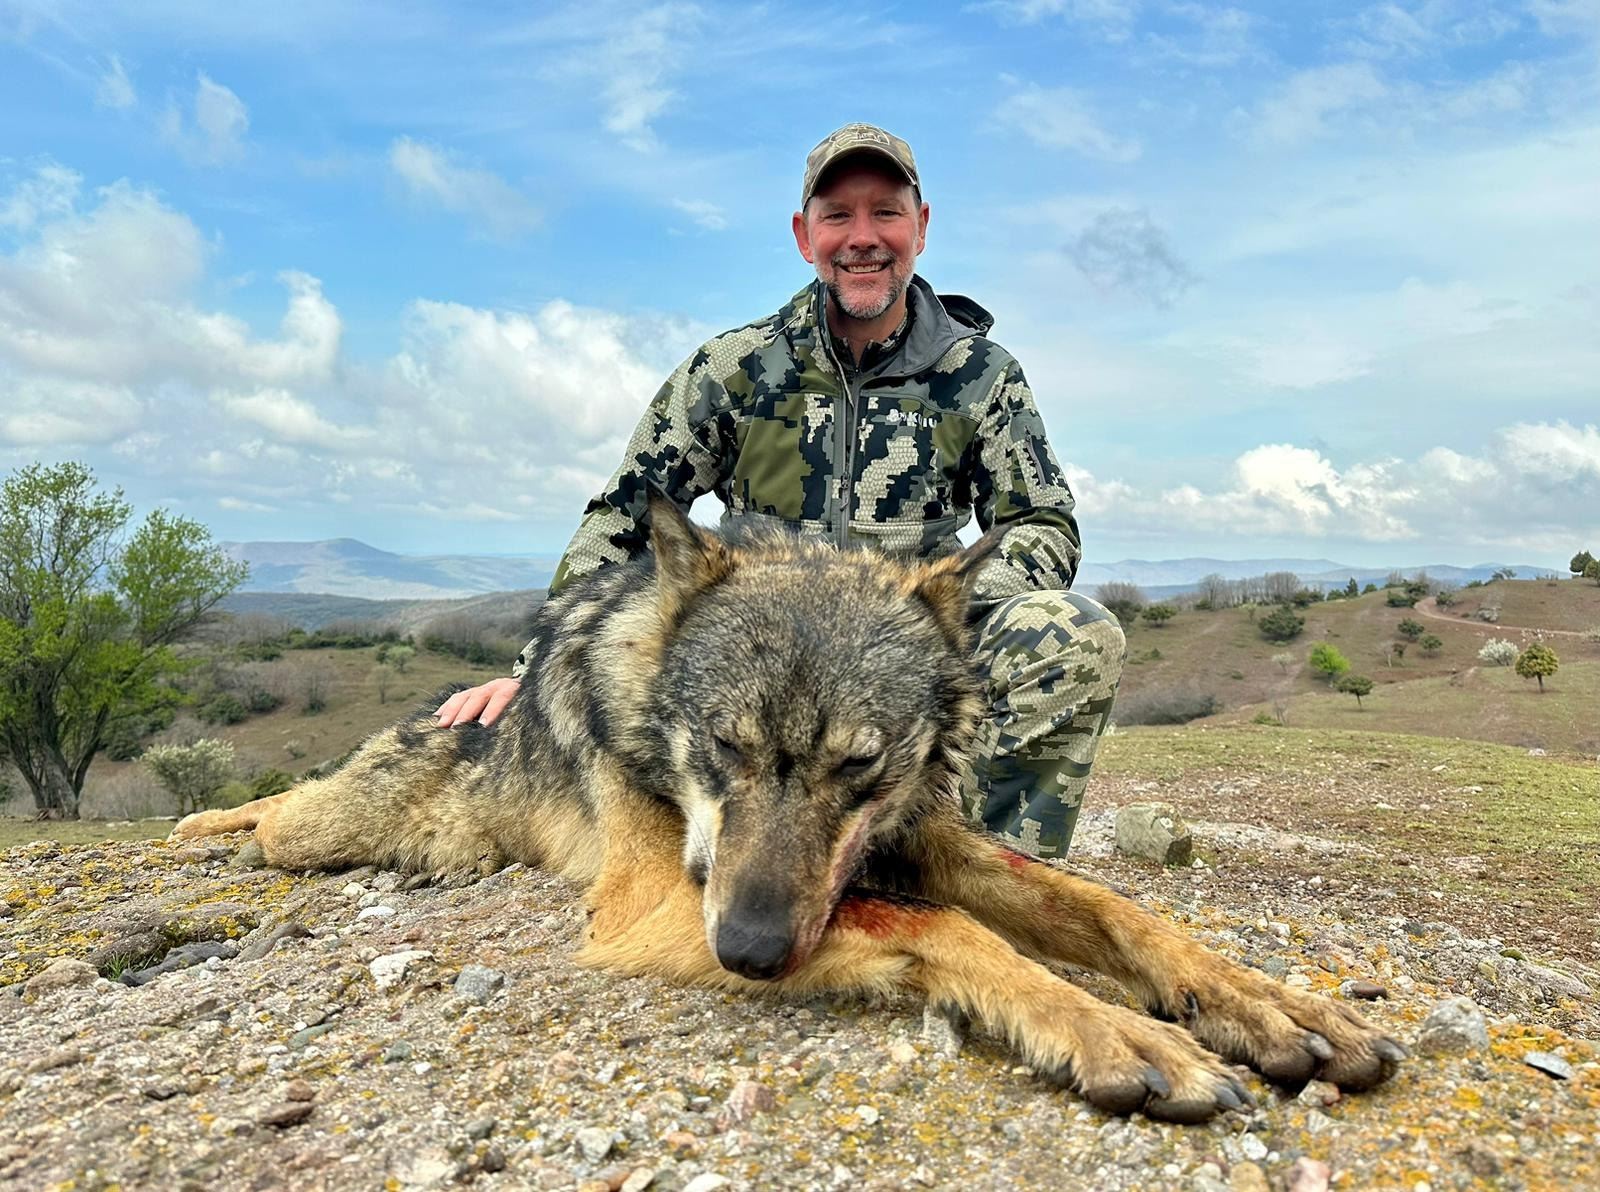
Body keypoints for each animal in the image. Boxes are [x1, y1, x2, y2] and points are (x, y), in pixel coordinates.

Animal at [175, 494, 1403, 1123]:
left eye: (858, 769)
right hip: (325, 831)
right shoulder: (661, 907)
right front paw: (1116, 1027)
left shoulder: (915, 836)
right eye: (724, 748)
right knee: (276, 812)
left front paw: (1270, 1005)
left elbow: (1114, 910)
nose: (752, 953)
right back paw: (201, 825)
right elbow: (938, 928)